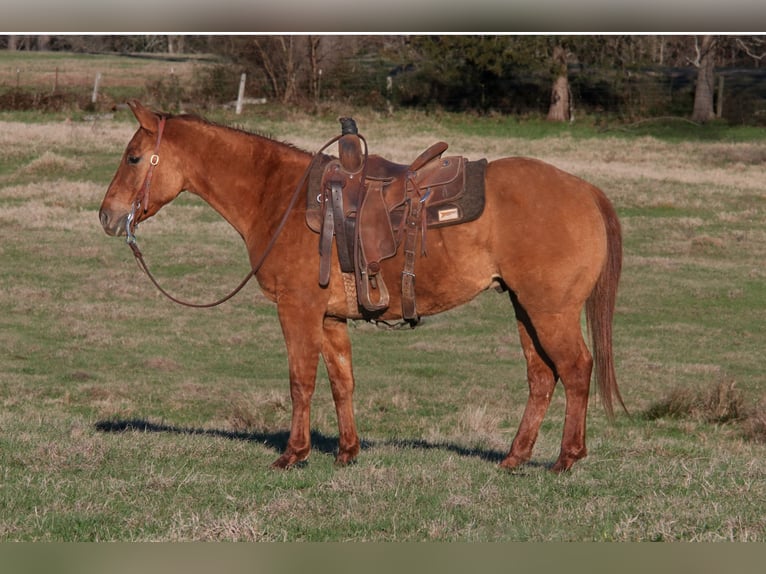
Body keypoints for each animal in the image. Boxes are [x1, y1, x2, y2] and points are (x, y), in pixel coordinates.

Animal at [100, 101, 624, 474]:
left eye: (132, 157)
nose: (106, 215)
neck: (281, 196)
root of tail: (584, 190)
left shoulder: (297, 310)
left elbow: (301, 381)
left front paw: (293, 453)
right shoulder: (330, 318)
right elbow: (341, 382)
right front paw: (347, 452)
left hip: (550, 311)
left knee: (576, 370)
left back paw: (566, 458)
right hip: (525, 309)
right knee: (542, 378)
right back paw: (515, 458)